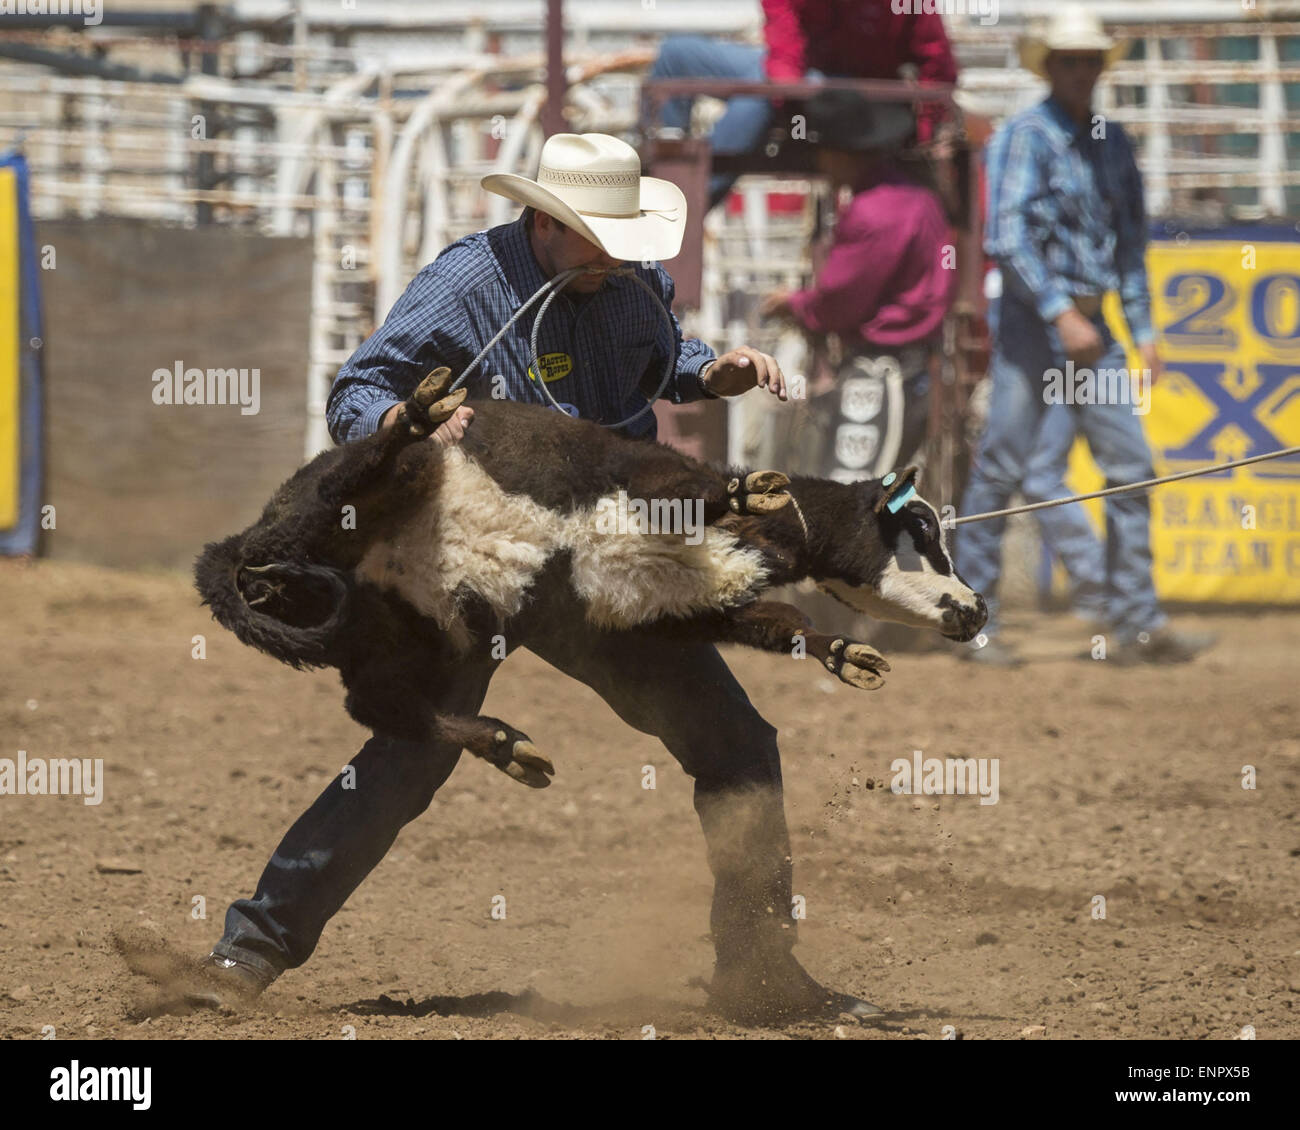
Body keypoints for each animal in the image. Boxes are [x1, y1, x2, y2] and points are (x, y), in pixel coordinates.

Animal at [192, 369, 982, 785]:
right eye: (921, 530)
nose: (974, 609)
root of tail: (253, 535)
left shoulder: (691, 613)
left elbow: (784, 625)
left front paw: (849, 656)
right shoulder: (651, 484)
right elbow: (695, 492)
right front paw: (751, 489)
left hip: (395, 633)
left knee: (377, 704)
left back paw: (504, 746)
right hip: (374, 494)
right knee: (373, 466)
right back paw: (418, 411)